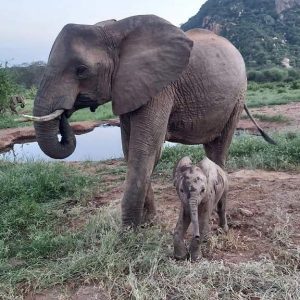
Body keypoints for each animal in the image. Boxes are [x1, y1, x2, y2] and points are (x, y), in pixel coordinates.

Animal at [31, 14, 274, 227]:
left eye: (81, 70)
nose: (65, 113)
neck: (114, 30)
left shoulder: (160, 88)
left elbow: (144, 150)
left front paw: (128, 234)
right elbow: (131, 150)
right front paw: (148, 224)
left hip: (238, 96)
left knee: (219, 149)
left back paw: (217, 219)